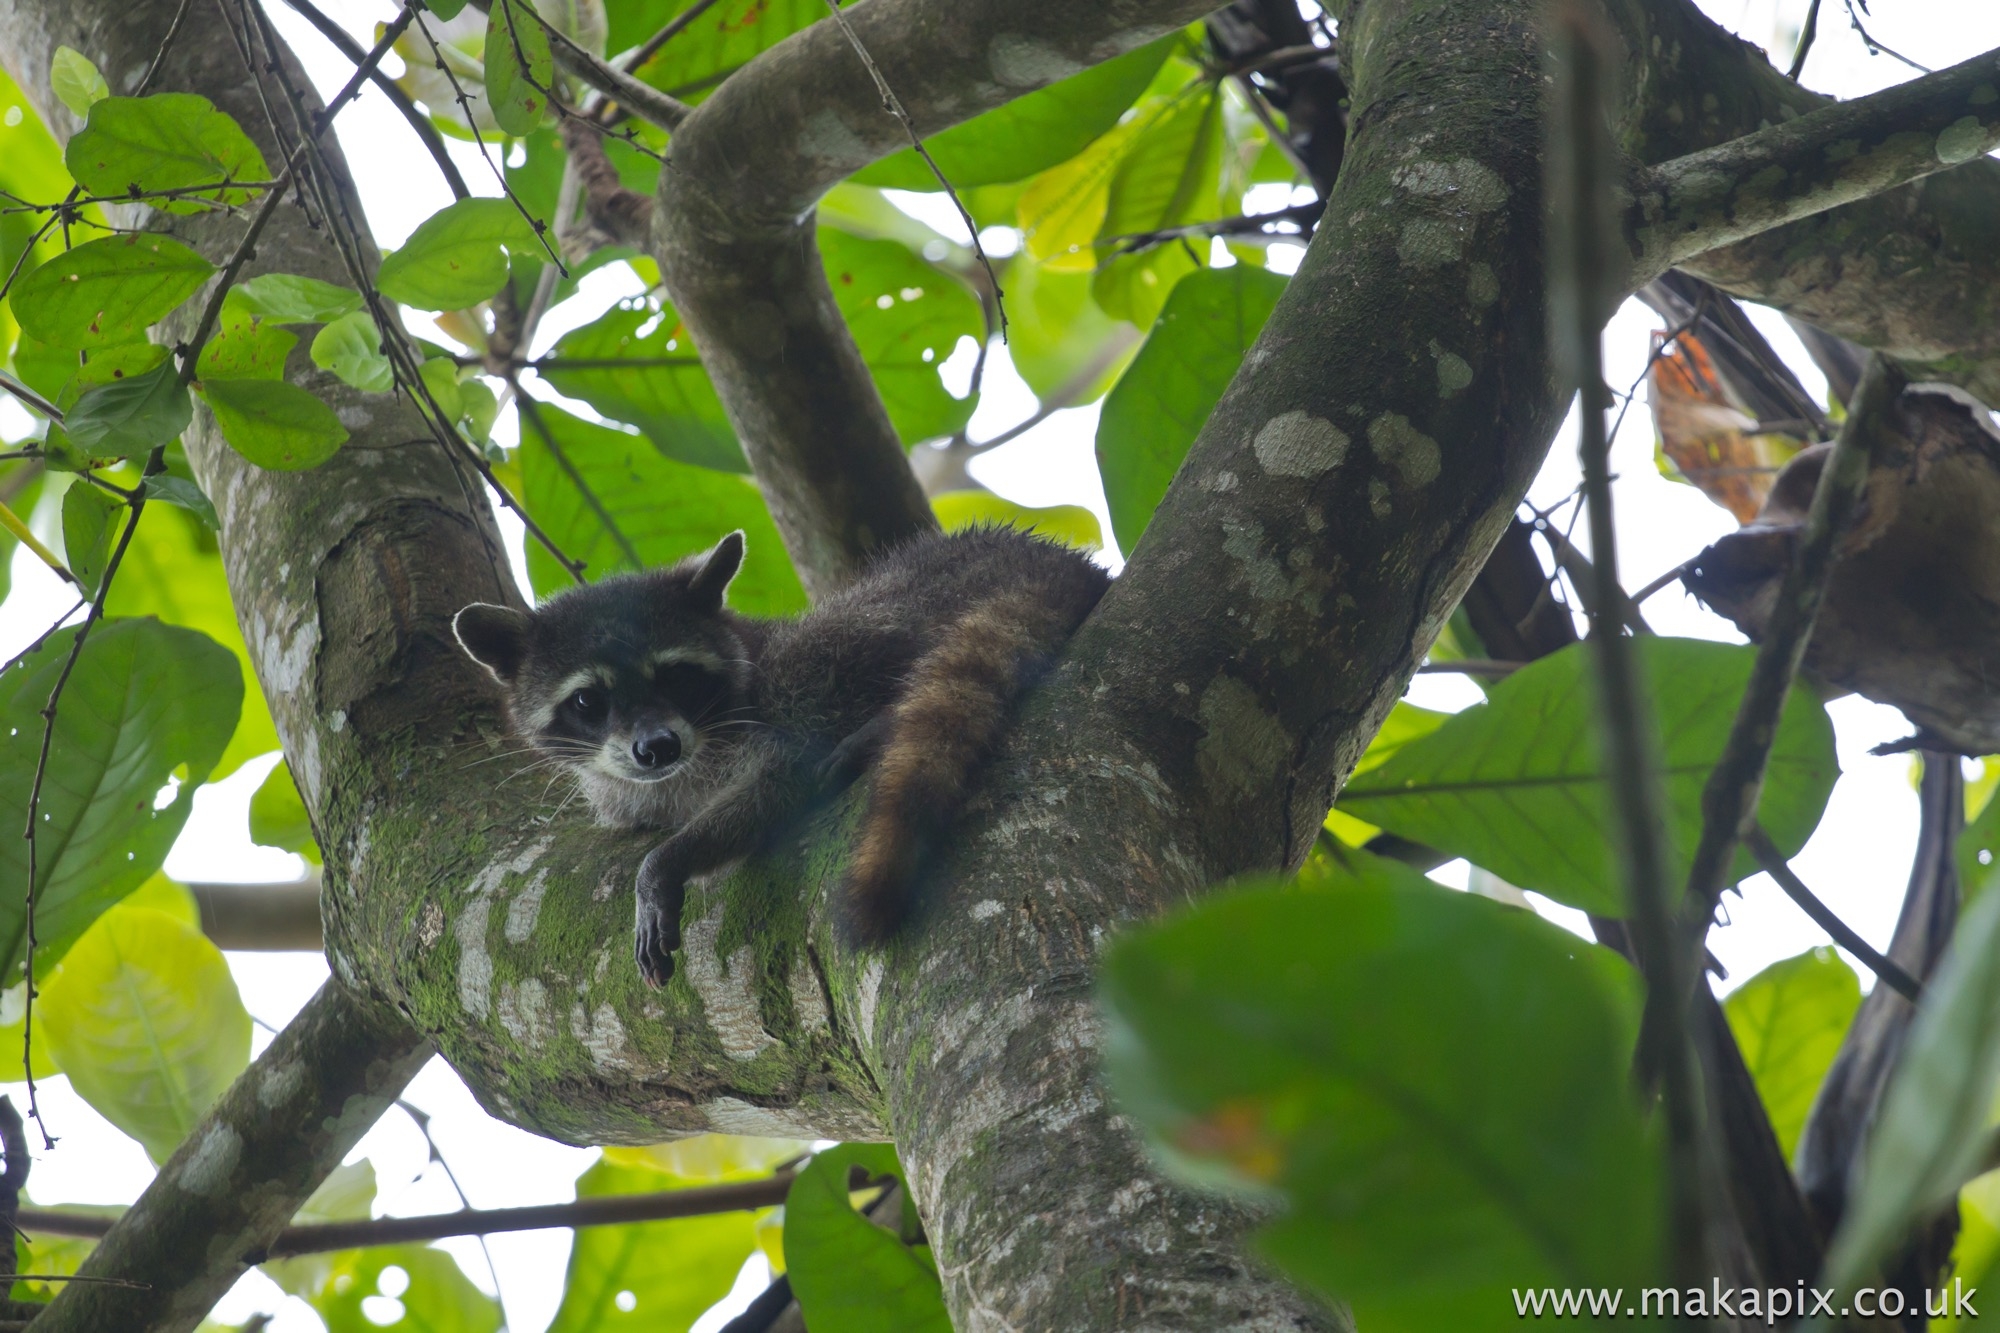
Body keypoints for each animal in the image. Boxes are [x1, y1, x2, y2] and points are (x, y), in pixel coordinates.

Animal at [452, 524, 1112, 980]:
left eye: (677, 677)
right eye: (589, 701)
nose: (657, 747)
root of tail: (1055, 559)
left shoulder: (764, 714)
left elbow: (782, 777)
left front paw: (665, 863)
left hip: (924, 593)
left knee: (846, 636)